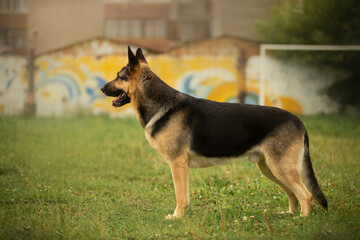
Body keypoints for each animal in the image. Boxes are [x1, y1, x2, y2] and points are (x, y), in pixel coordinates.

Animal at [100, 46, 328, 219]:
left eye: (119, 77)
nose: (101, 88)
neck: (160, 103)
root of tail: (297, 120)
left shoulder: (178, 164)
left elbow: (180, 195)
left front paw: (177, 217)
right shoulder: (180, 165)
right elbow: (184, 195)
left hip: (280, 167)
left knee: (305, 194)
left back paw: (301, 220)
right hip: (270, 168)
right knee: (293, 193)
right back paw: (289, 215)